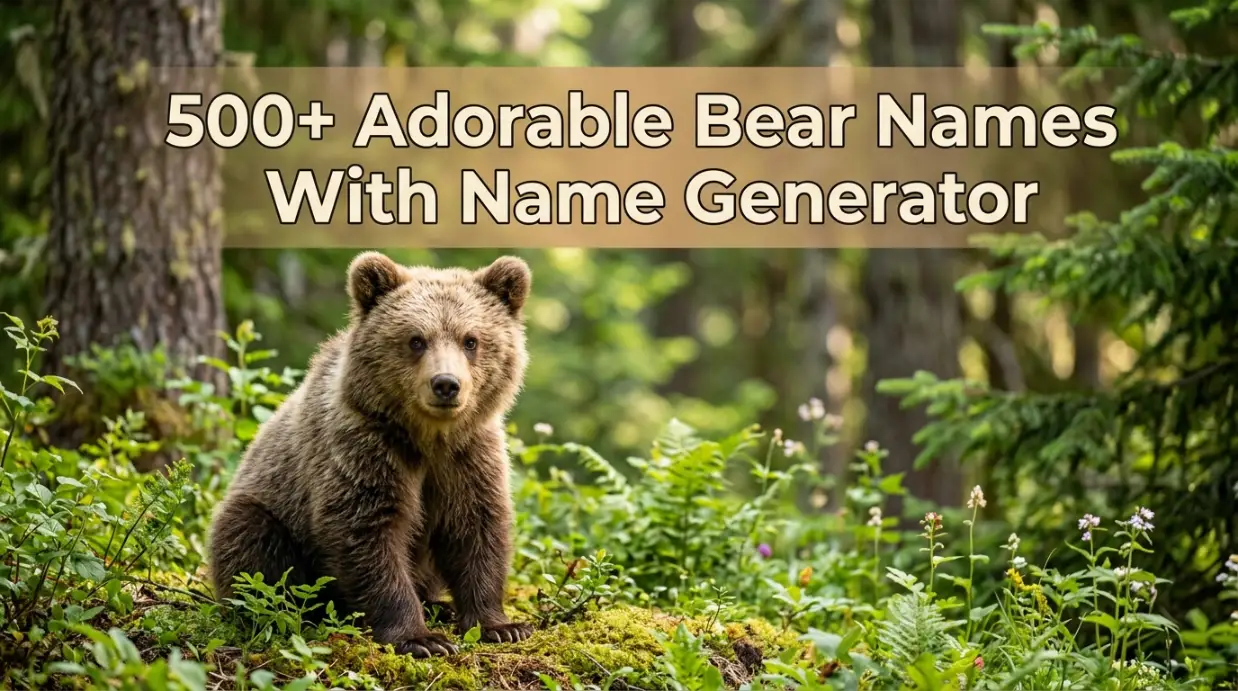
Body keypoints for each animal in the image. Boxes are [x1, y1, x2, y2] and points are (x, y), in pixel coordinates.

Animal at [207, 251, 535, 657]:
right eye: (416, 340)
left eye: (470, 340)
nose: (446, 384)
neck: (428, 438)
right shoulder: (363, 449)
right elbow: (368, 534)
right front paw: (421, 638)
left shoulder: (469, 455)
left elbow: (477, 528)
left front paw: (501, 625)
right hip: (267, 506)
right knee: (251, 541)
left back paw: (437, 605)